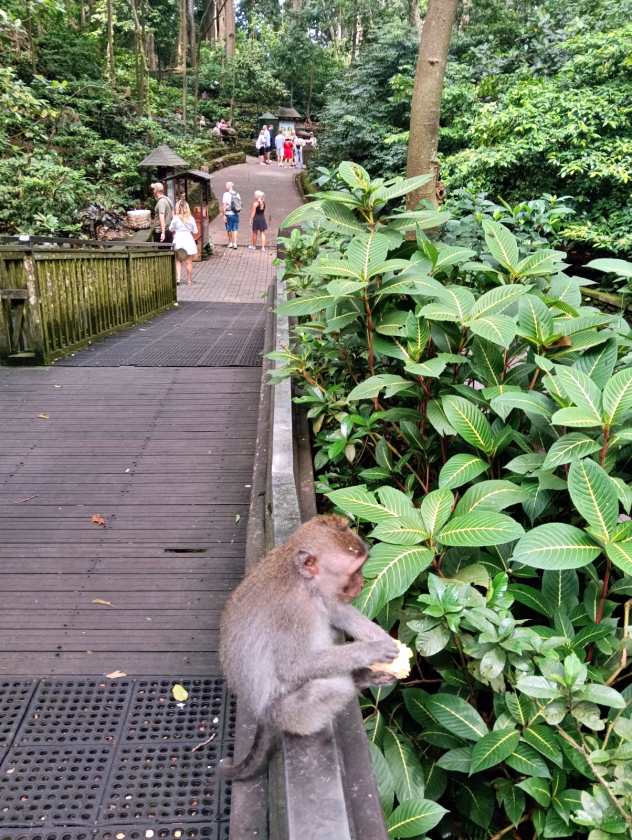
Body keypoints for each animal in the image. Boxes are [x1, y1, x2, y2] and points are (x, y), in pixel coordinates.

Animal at [218, 514, 400, 780]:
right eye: (354, 572)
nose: (362, 582)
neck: (303, 582)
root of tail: (263, 716)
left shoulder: (322, 594)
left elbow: (336, 609)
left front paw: (380, 637)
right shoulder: (293, 612)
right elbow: (293, 667)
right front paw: (373, 650)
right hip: (285, 714)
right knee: (330, 687)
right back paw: (354, 681)